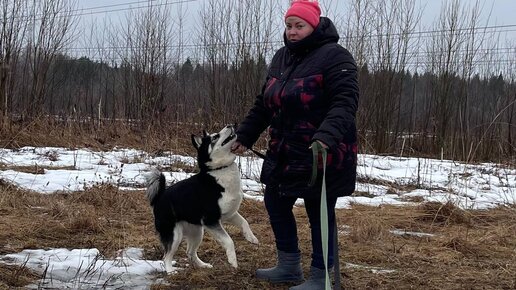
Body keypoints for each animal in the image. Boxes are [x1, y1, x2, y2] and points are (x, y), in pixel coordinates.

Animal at [145, 125, 258, 274]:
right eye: (215, 137)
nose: (230, 125)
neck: (219, 170)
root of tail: (159, 197)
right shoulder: (211, 220)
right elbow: (229, 241)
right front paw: (232, 260)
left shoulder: (230, 214)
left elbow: (245, 222)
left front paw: (251, 237)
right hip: (174, 235)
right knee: (166, 256)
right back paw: (170, 271)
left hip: (197, 232)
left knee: (190, 252)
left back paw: (203, 265)